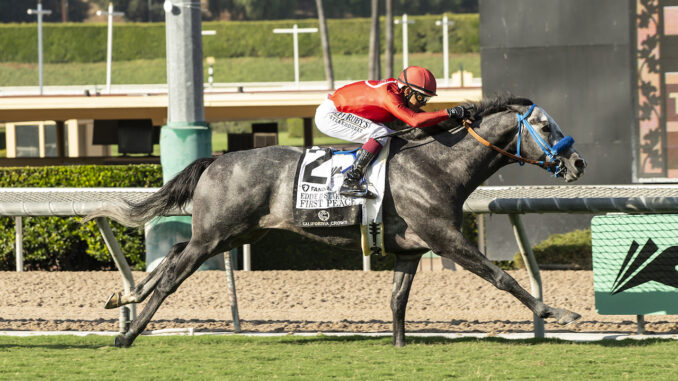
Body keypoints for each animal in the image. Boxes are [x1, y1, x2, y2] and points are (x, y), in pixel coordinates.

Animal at [86, 93, 588, 346]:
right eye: (545, 127)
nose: (578, 162)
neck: (438, 165)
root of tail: (217, 160)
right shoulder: (444, 237)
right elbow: (500, 277)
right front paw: (556, 311)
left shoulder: (412, 249)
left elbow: (398, 299)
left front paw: (400, 345)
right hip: (216, 235)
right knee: (174, 274)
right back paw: (127, 335)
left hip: (231, 233)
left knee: (172, 252)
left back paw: (124, 295)